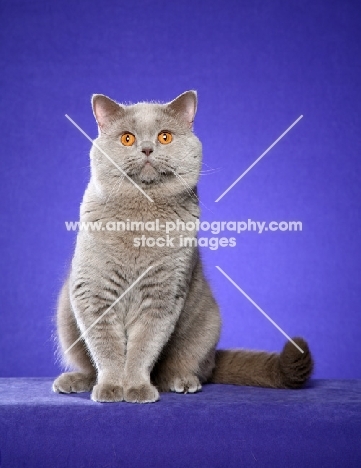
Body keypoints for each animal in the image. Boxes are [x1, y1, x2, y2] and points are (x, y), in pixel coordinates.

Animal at [51, 90, 312, 402]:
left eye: (164, 137)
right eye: (127, 138)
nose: (147, 149)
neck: (142, 217)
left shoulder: (163, 294)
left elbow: (143, 346)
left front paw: (136, 388)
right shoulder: (94, 292)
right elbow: (107, 347)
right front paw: (112, 388)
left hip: (206, 326)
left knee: (193, 368)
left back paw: (182, 381)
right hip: (65, 315)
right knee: (87, 363)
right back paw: (74, 380)